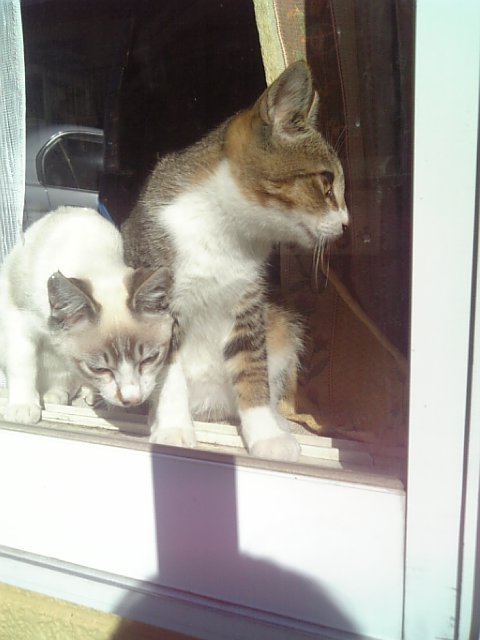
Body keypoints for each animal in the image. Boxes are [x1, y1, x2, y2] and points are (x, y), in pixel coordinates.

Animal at [0, 206, 173, 425]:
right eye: (98, 369)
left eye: (150, 359)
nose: (133, 400)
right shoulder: (19, 318)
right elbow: (23, 365)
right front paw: (22, 407)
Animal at [121, 61, 349, 461]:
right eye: (326, 182)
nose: (346, 223)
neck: (224, 230)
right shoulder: (158, 307)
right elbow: (168, 372)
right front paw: (173, 428)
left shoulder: (248, 306)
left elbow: (253, 370)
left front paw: (266, 434)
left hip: (280, 326)